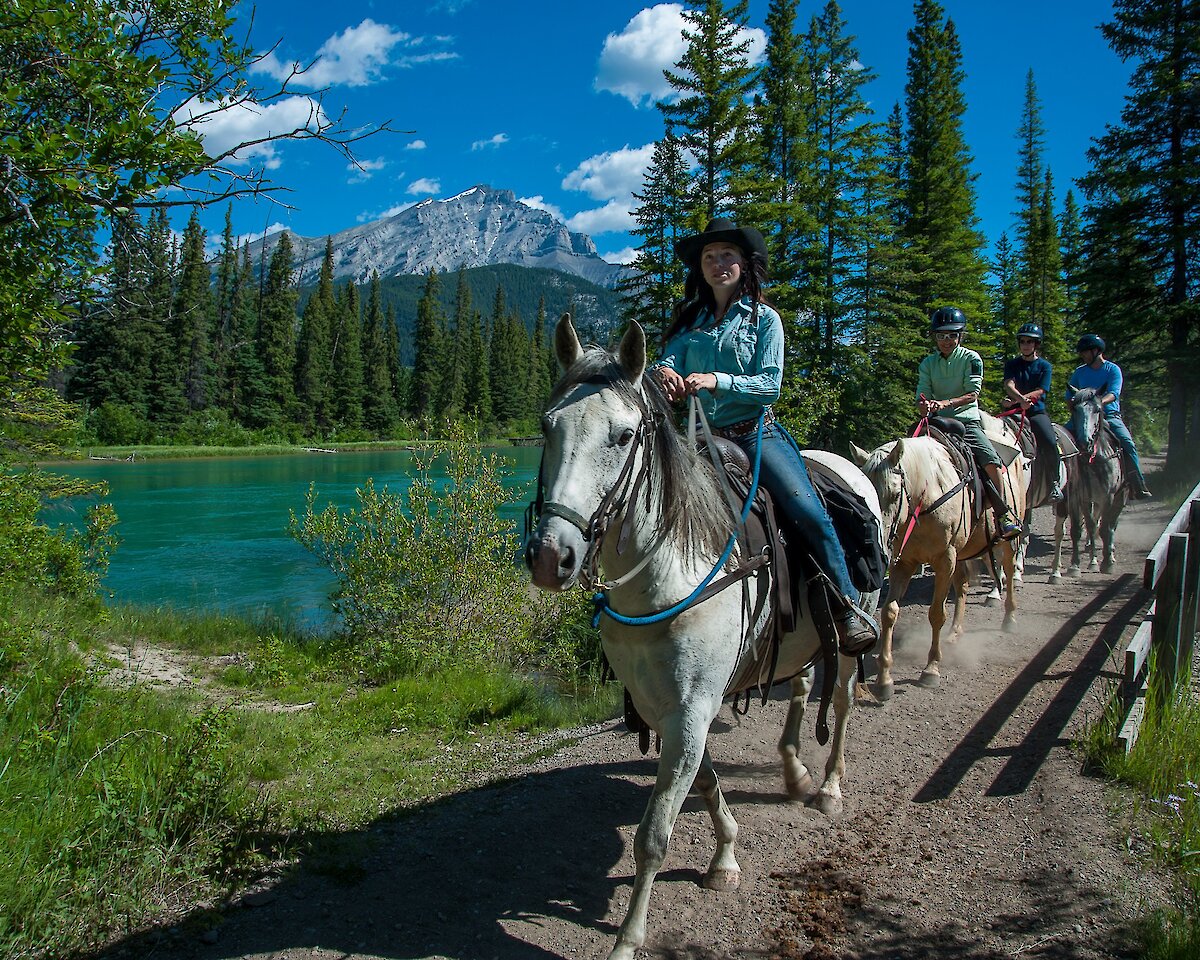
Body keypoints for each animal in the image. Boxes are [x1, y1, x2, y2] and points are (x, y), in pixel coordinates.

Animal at [525, 316, 883, 960]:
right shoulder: (668, 705)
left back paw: (829, 788)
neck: (669, 574)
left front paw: (627, 938)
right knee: (802, 690)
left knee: (841, 703)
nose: (550, 556)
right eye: (546, 426)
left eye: (623, 435)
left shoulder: (692, 708)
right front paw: (725, 858)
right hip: (800, 641)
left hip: (849, 638)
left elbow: (654, 832)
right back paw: (794, 773)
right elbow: (708, 782)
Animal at [849, 424, 1027, 696]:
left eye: (894, 494)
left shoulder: (944, 560)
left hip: (1005, 541)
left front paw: (931, 669)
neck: (927, 497)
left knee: (1006, 569)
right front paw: (884, 678)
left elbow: (936, 613)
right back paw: (954, 633)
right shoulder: (904, 563)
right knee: (963, 584)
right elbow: (890, 612)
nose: (878, 544)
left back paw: (1009, 619)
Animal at [1056, 386, 1128, 573]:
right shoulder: (1078, 497)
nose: (1085, 441)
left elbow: (1104, 529)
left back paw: (1110, 553)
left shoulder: (1108, 497)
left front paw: (1106, 562)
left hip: (1120, 496)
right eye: (1075, 409)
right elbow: (1079, 529)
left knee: (1111, 524)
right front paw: (1076, 565)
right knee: (1093, 523)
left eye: (1097, 409)